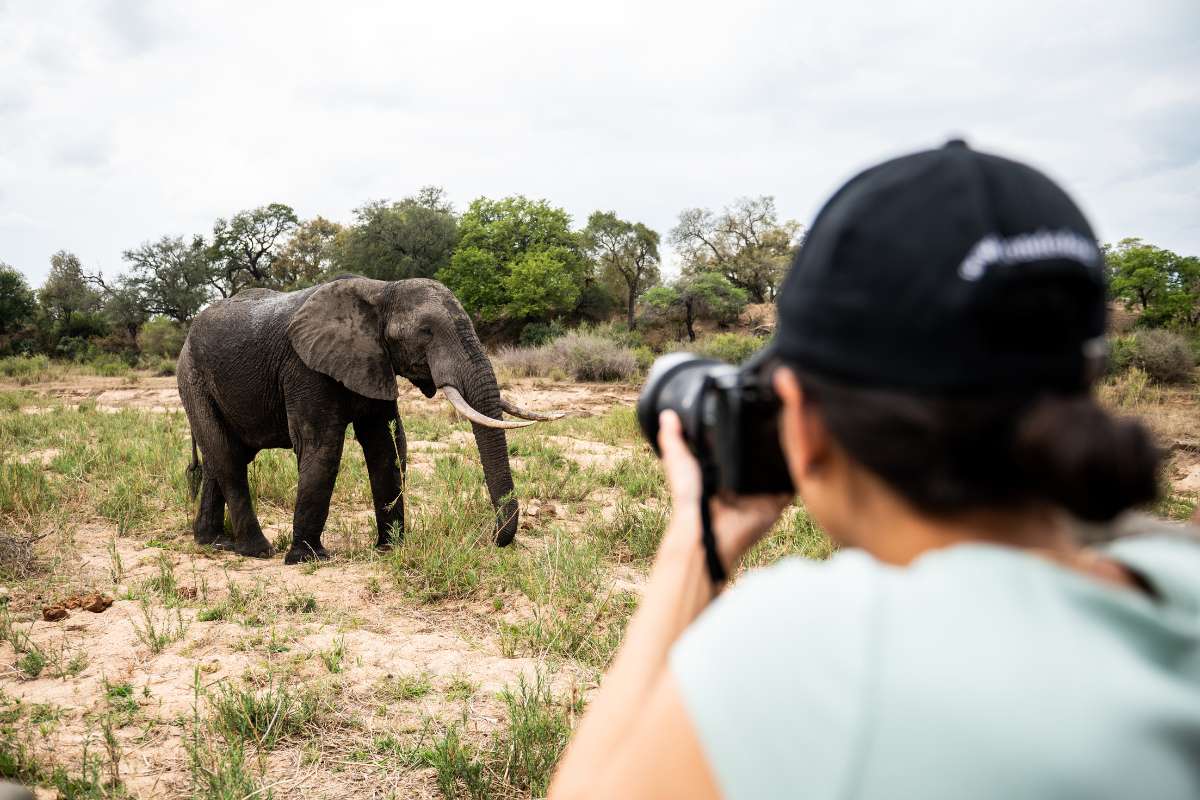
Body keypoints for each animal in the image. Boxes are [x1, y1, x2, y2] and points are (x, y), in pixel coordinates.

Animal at [176, 275, 562, 564]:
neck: (382, 290)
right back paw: (257, 551)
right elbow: (322, 447)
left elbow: (386, 446)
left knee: (222, 459)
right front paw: (308, 559)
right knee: (227, 458)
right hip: (192, 379)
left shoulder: (375, 362)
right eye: (426, 332)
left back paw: (213, 542)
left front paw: (391, 548)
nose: (492, 538)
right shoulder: (305, 367)